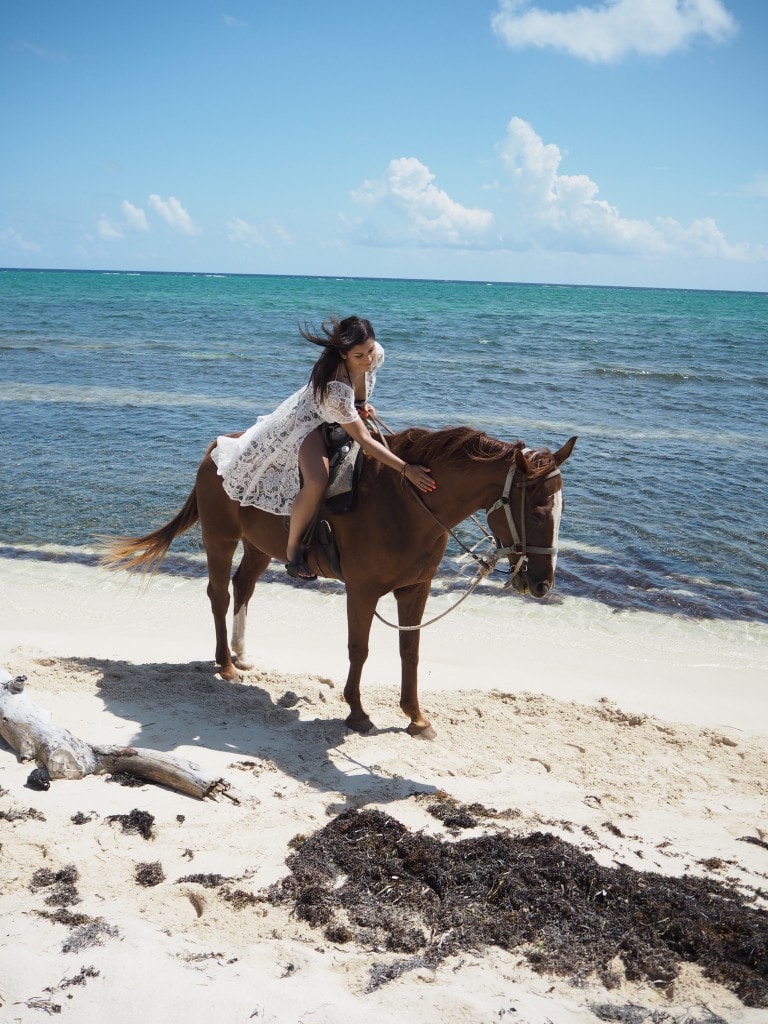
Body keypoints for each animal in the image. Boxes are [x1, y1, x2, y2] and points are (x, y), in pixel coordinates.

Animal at [102, 426, 576, 736]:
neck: (407, 505)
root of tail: (217, 449)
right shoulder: (362, 591)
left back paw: (242, 654)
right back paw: (225, 663)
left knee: (243, 586)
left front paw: (416, 717)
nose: (543, 585)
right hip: (220, 537)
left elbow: (410, 652)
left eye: (559, 509)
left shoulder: (415, 590)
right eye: (536, 510)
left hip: (259, 546)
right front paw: (358, 712)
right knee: (218, 592)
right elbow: (359, 649)